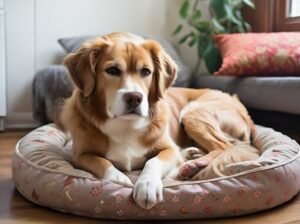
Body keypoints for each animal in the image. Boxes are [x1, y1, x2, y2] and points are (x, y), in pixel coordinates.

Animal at [60, 32, 258, 209]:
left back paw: (192, 165)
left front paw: (147, 185)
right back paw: (190, 157)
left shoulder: (168, 148)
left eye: (146, 71)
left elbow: (152, 161)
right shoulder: (79, 155)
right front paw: (117, 178)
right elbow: (102, 161)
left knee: (224, 147)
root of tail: (241, 106)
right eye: (112, 70)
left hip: (193, 113)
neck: (125, 124)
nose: (134, 98)